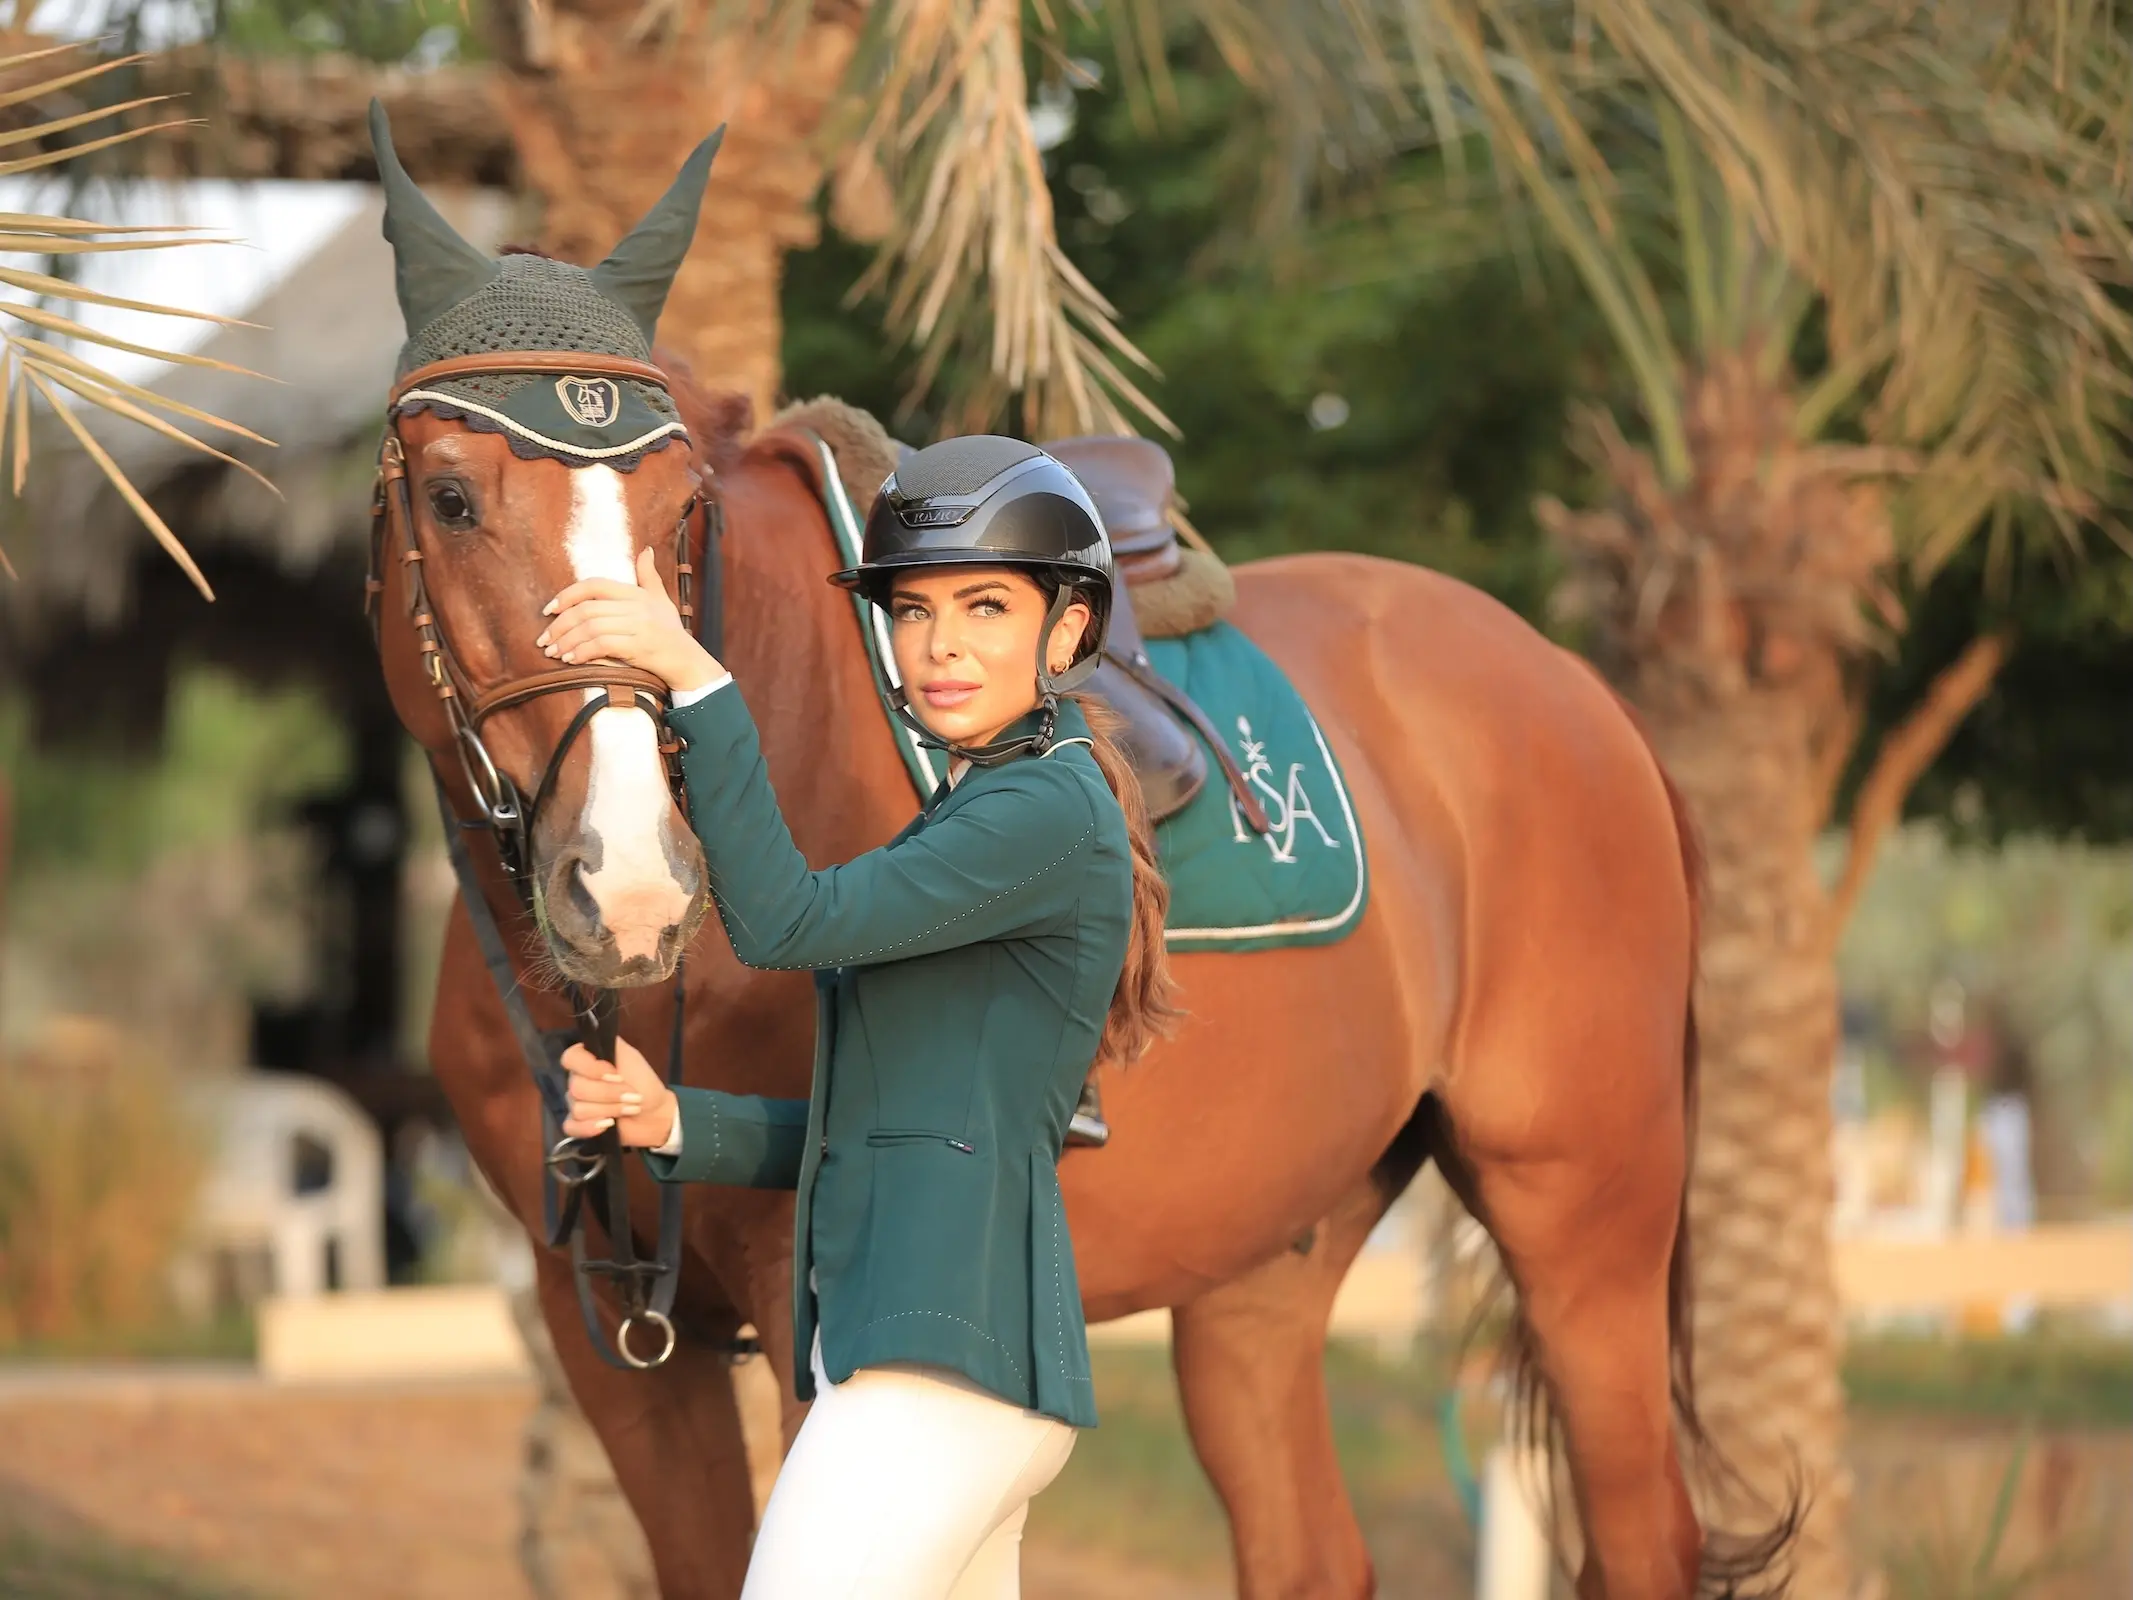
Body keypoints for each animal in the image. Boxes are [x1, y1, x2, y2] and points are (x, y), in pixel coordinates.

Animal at [372, 334, 1792, 1595]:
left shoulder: (802, 1308)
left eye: (683, 513)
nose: (627, 885)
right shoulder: (611, 1340)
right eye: (451, 499)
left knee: (1643, 1539)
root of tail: (1587, 694)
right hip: (1262, 1271)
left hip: (1582, 1221)